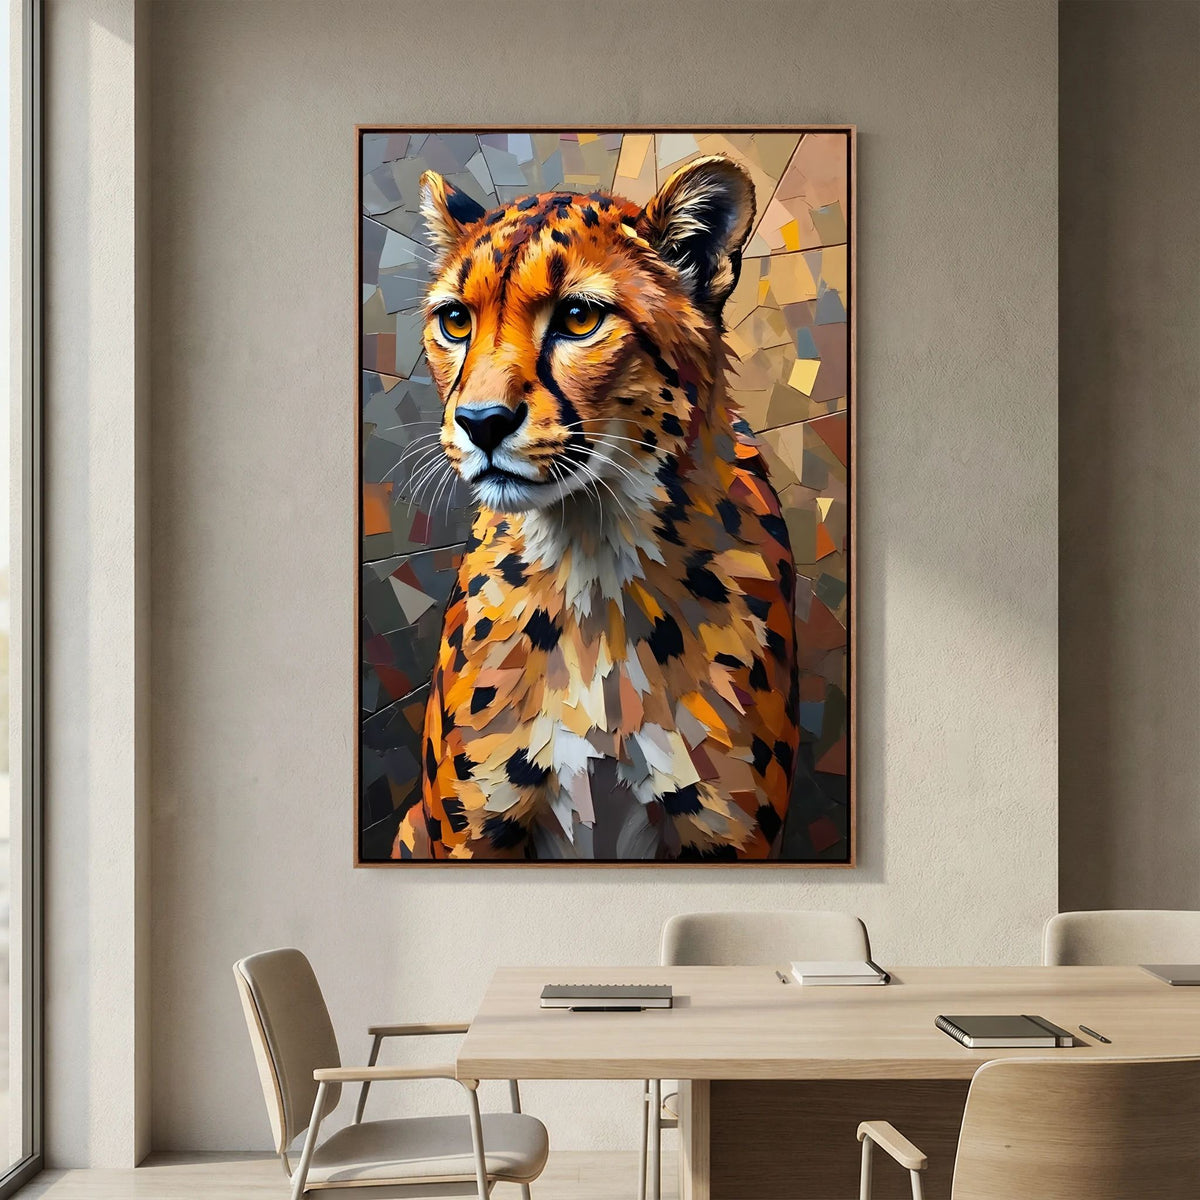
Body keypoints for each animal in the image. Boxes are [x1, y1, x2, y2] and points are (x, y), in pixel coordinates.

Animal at [392, 153, 799, 861]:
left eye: (580, 317)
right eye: (456, 321)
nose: (481, 422)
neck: (592, 549)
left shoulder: (727, 834)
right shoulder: (474, 834)